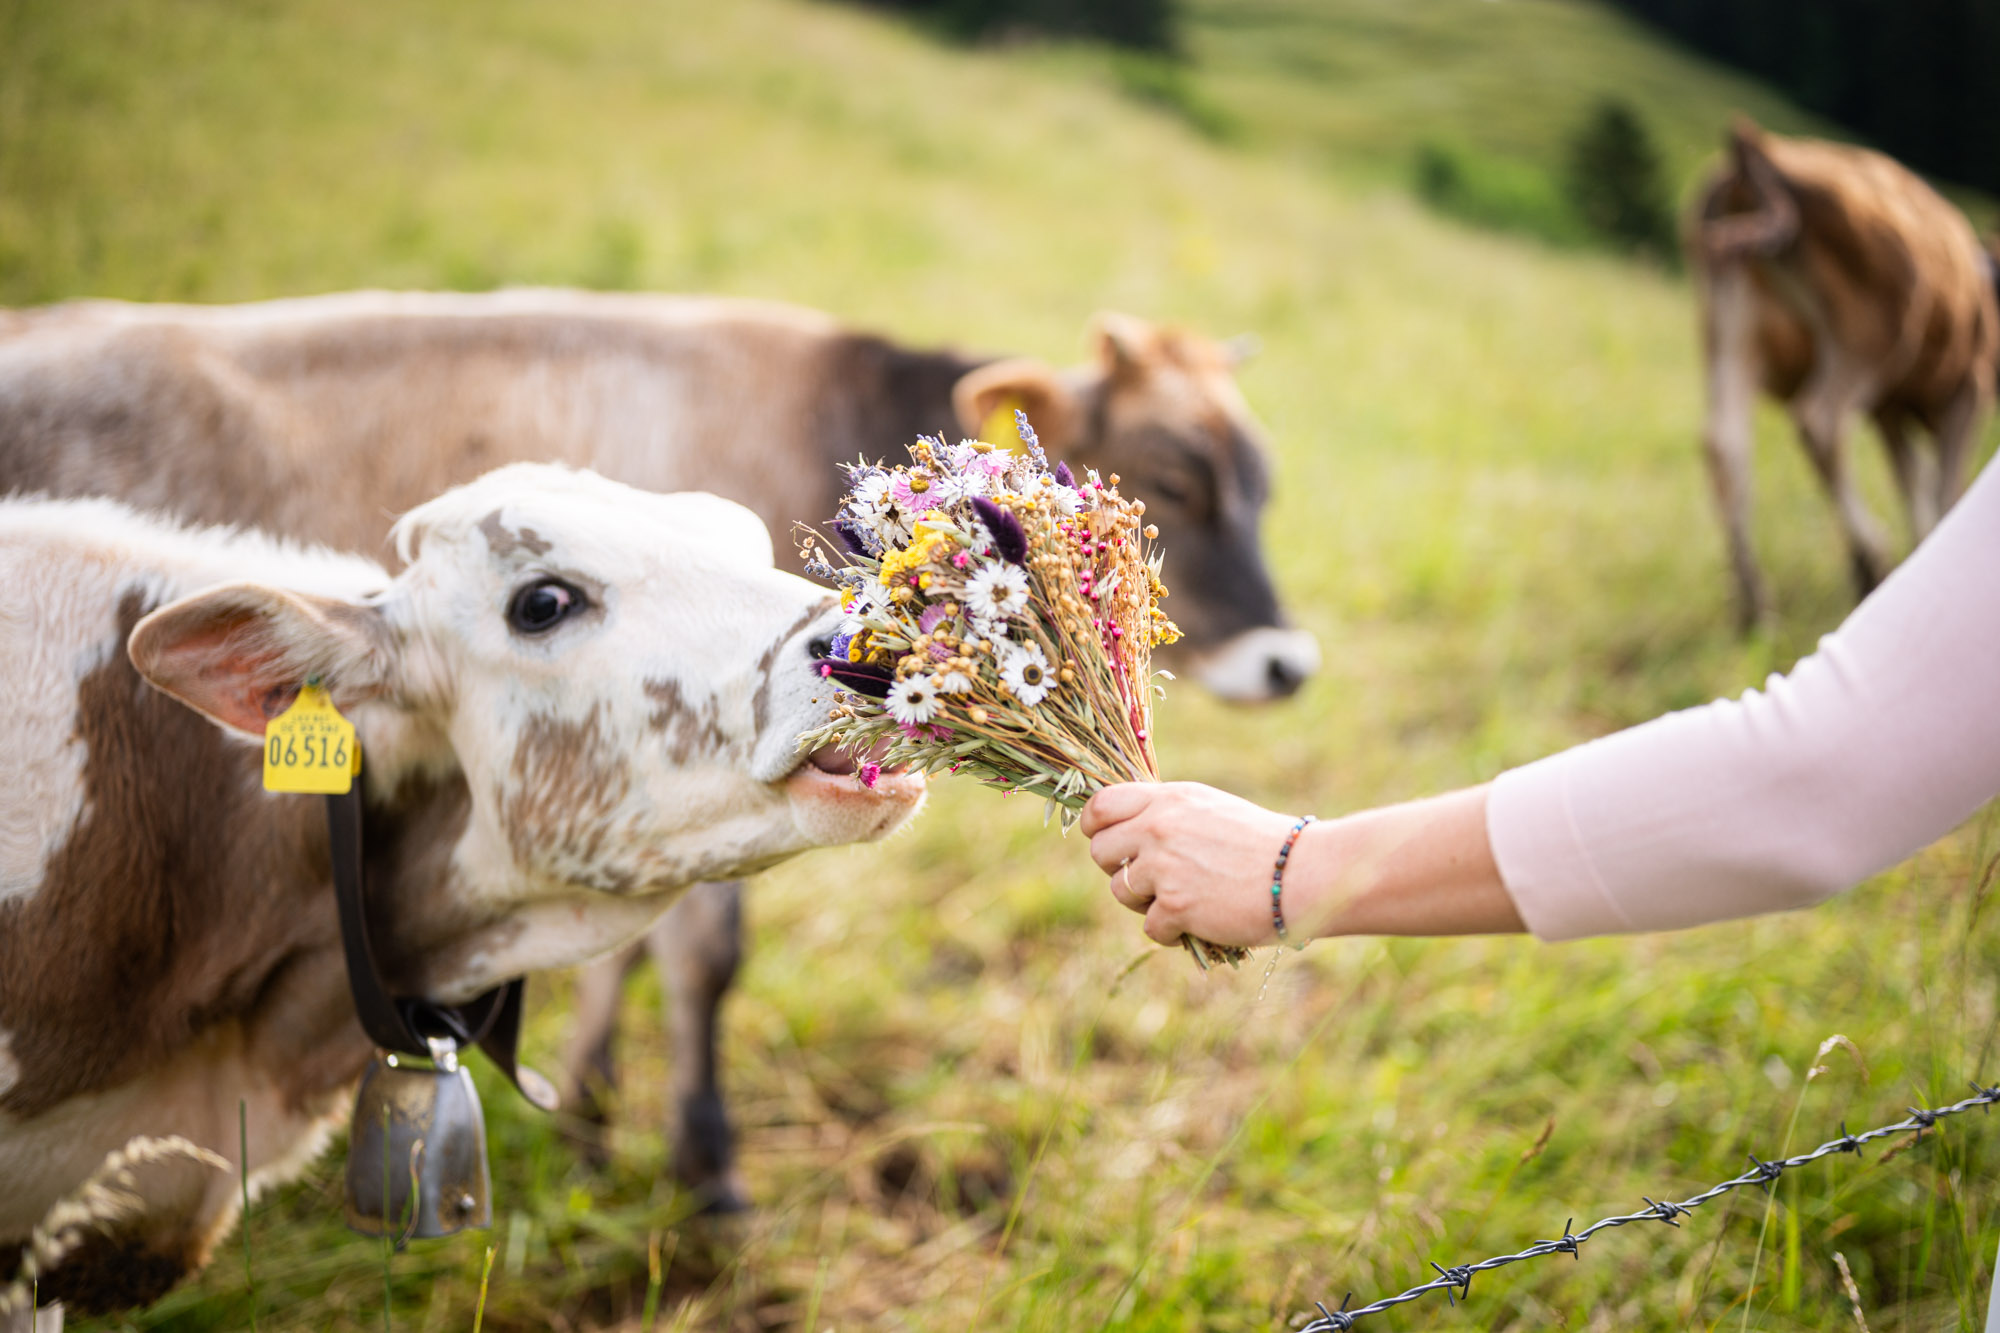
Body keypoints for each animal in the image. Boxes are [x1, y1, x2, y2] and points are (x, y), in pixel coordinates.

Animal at [0, 289, 1316, 1210]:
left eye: (1261, 482)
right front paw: (703, 1157)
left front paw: (587, 1109)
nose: (1286, 664)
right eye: (1171, 480)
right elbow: (699, 958)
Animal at [1689, 119, 1998, 629]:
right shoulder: (1967, 390)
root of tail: (1758, 154)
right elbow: (1945, 488)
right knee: (1821, 421)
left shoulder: (1891, 408)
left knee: (1725, 446)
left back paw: (1755, 604)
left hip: (1731, 328)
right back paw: (1871, 557)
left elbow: (1914, 480)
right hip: (1869, 334)